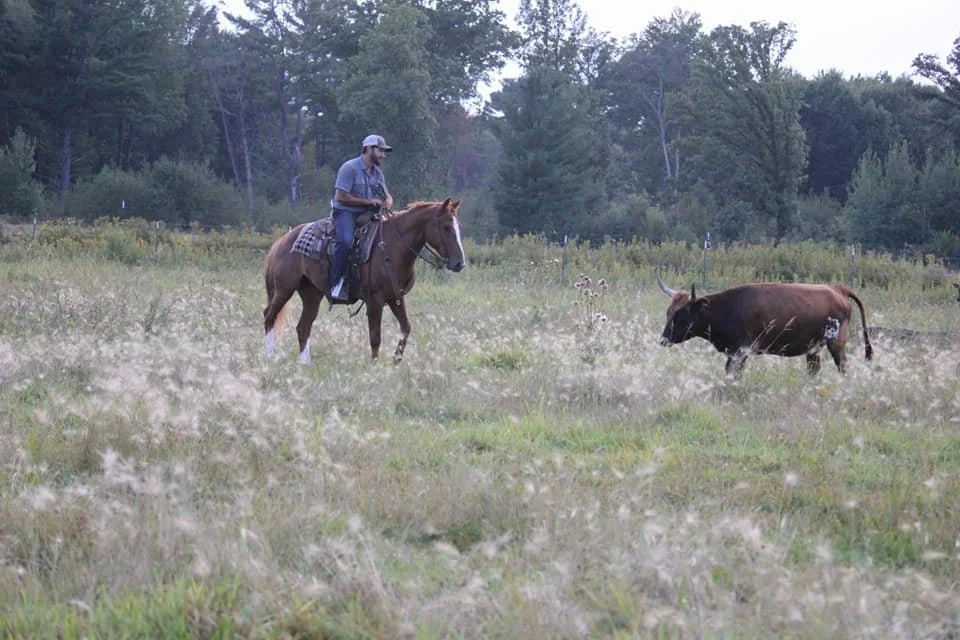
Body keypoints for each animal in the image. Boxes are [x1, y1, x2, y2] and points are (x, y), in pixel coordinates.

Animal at [262, 198, 466, 363]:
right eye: (446, 227)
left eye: (458, 227)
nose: (459, 263)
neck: (392, 248)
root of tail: (282, 241)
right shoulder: (375, 301)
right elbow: (375, 336)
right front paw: (374, 367)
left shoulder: (396, 298)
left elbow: (406, 328)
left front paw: (396, 360)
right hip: (284, 288)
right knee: (269, 316)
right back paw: (269, 356)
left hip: (312, 294)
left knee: (303, 328)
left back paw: (305, 364)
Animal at [657, 278, 873, 378]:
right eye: (668, 312)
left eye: (681, 315)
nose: (663, 340)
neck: (725, 308)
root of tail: (837, 289)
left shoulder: (740, 351)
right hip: (814, 349)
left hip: (835, 343)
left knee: (842, 366)